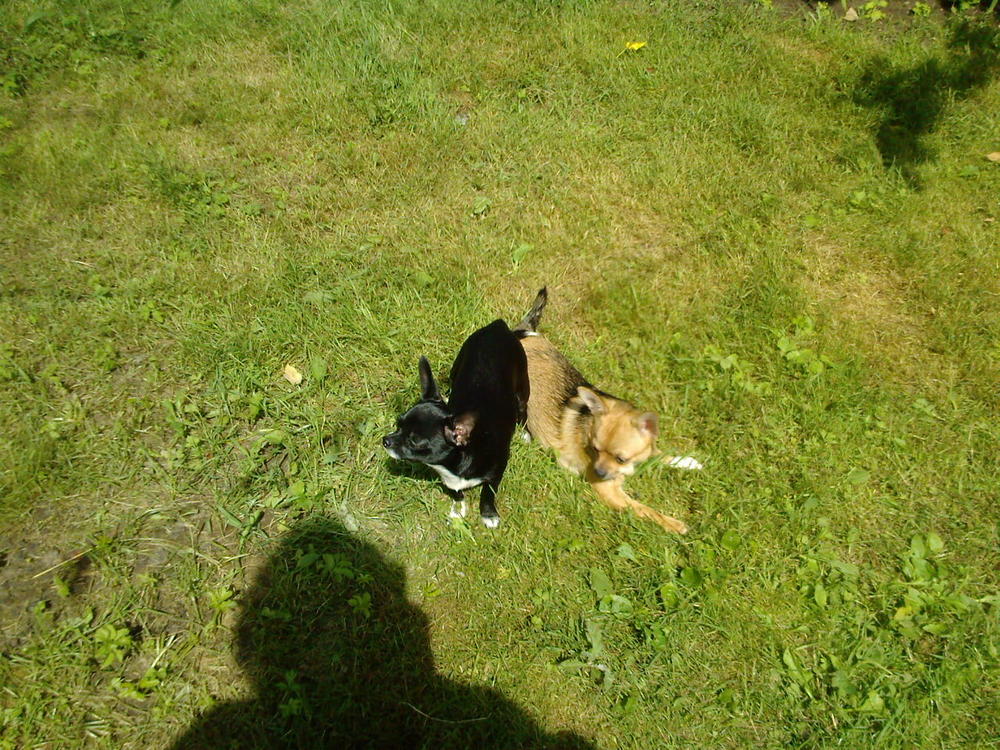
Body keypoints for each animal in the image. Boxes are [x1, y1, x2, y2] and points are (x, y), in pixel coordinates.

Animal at [383, 319, 529, 528]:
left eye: (415, 441)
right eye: (398, 424)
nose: (385, 440)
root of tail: (498, 326)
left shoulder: (497, 472)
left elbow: (488, 492)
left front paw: (488, 514)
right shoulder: (449, 480)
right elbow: (456, 493)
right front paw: (459, 509)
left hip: (523, 390)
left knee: (523, 411)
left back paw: (525, 433)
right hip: (457, 367)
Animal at [514, 288, 699, 534]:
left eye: (621, 458)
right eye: (594, 450)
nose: (599, 473)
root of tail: (522, 332)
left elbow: (661, 454)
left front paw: (688, 462)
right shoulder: (612, 493)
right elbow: (645, 510)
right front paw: (674, 524)